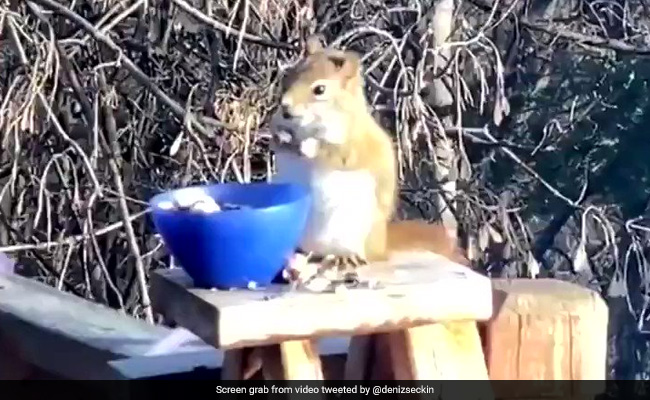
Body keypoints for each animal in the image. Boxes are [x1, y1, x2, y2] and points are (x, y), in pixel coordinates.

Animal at [269, 35, 467, 272]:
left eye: (320, 90)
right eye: (290, 75)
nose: (285, 107)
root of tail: (382, 246)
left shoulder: (355, 143)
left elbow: (339, 154)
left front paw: (310, 146)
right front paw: (277, 137)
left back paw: (346, 258)